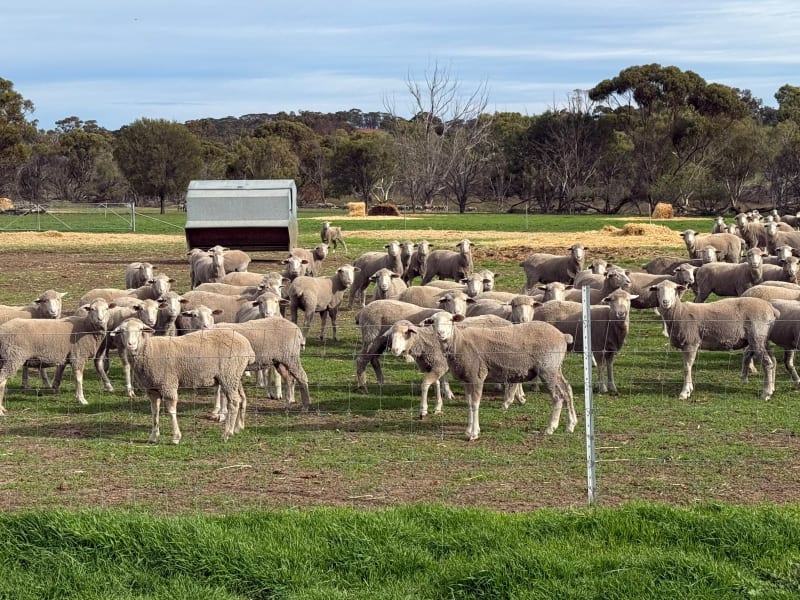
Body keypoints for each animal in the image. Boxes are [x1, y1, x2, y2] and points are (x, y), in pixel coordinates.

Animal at [109, 318, 254, 443]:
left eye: (140, 330)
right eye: (122, 331)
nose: (131, 344)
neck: (148, 350)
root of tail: (247, 345)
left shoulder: (168, 384)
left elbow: (171, 411)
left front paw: (176, 437)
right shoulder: (152, 389)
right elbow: (154, 412)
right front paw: (153, 436)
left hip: (228, 375)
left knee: (234, 402)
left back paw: (227, 433)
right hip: (234, 376)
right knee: (241, 398)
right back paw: (236, 428)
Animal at [425, 312, 576, 440]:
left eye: (451, 320)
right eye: (433, 322)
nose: (441, 333)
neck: (459, 343)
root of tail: (562, 336)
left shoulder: (477, 375)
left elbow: (475, 404)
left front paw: (474, 433)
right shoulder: (467, 379)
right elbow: (469, 403)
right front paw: (468, 430)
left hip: (547, 368)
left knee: (557, 396)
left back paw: (550, 428)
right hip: (555, 368)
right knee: (567, 390)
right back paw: (571, 424)